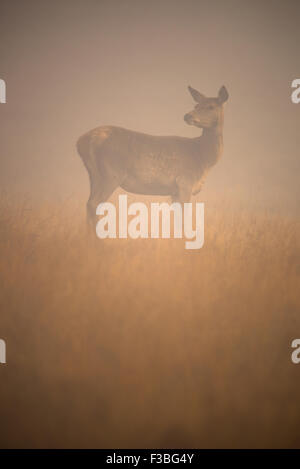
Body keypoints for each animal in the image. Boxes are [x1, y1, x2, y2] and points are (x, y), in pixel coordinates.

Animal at [76, 87, 229, 229]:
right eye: (196, 105)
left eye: (211, 106)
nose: (187, 116)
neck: (202, 157)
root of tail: (81, 141)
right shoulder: (185, 183)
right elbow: (184, 221)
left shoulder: (175, 191)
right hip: (111, 174)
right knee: (94, 204)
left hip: (94, 175)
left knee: (89, 203)